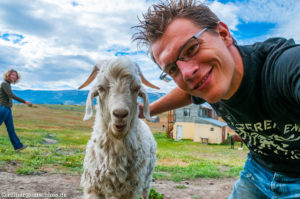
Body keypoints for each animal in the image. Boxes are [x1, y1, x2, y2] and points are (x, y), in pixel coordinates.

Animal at [79, 57, 159, 199]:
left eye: (136, 88)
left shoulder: (131, 191)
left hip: (147, 179)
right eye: (101, 88)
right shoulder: (93, 188)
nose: (120, 114)